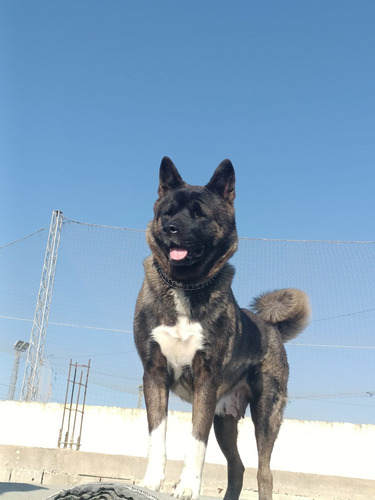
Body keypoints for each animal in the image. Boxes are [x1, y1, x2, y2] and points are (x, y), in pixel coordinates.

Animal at [134, 157, 310, 500]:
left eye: (199, 213)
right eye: (168, 211)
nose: (170, 229)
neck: (185, 285)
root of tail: (273, 328)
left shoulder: (206, 379)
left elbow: (195, 443)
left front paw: (187, 487)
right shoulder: (154, 374)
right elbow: (156, 436)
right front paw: (151, 482)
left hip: (265, 415)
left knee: (264, 473)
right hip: (225, 419)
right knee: (237, 467)